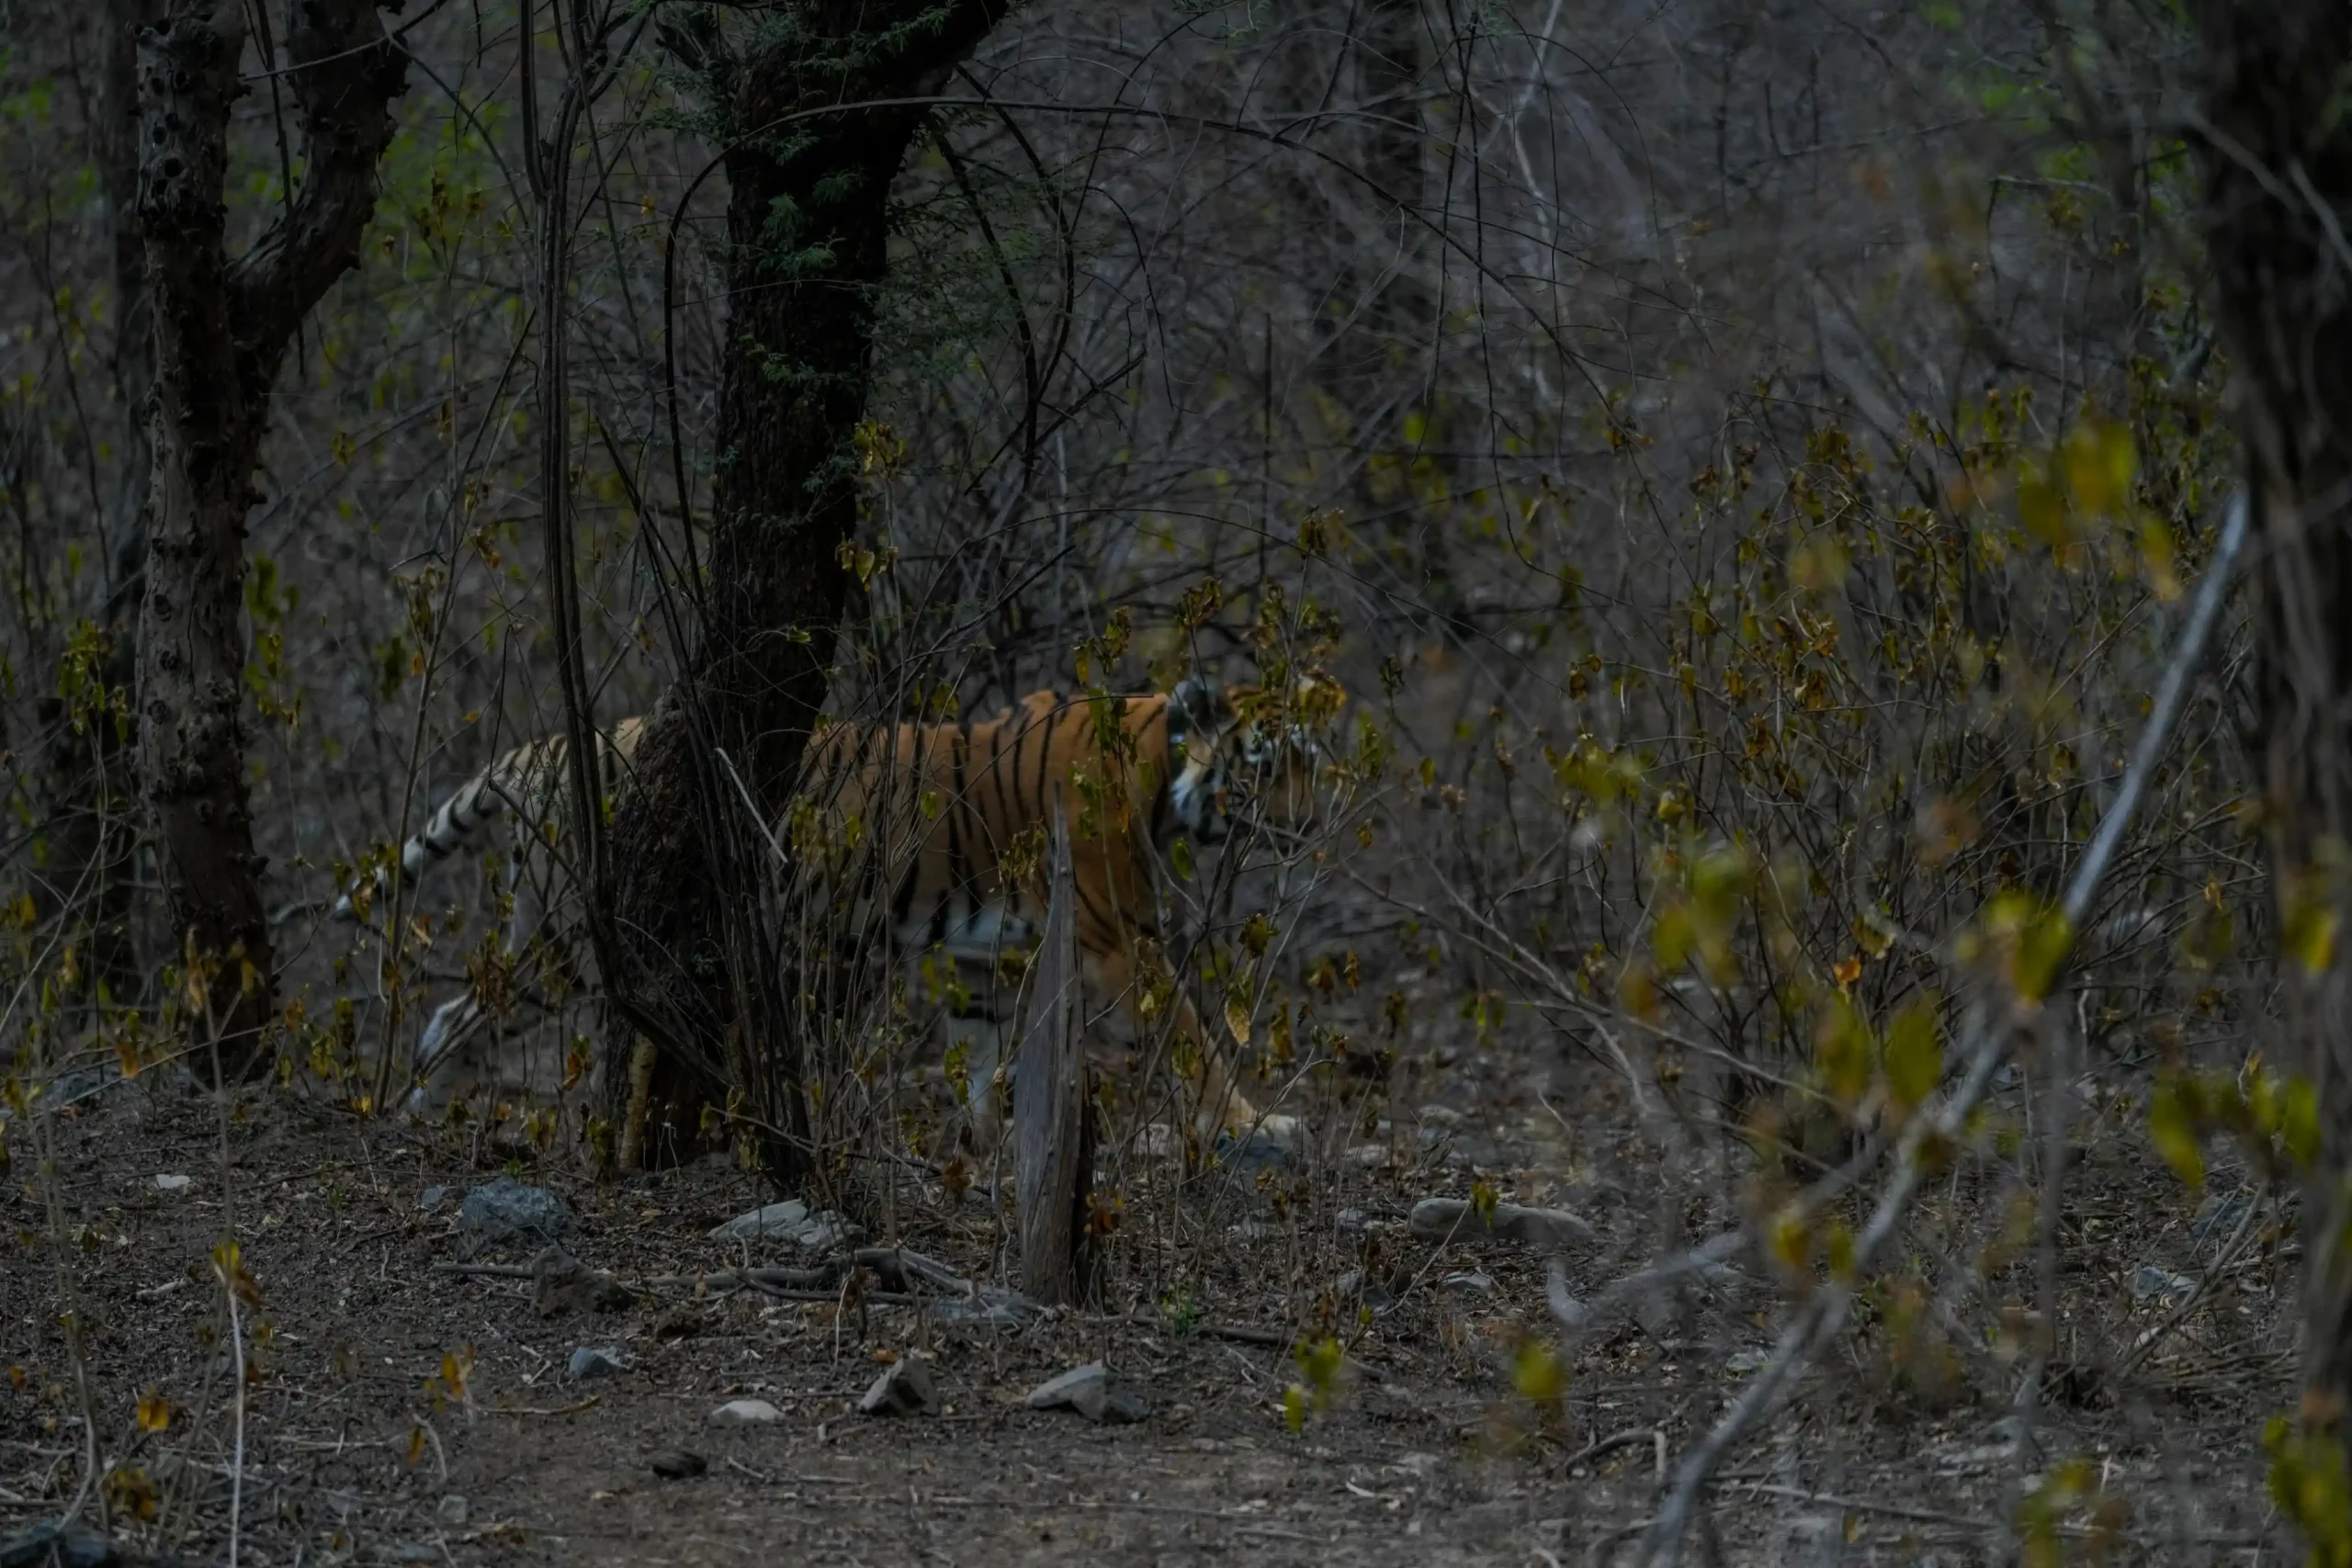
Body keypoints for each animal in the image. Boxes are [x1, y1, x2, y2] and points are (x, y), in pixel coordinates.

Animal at [336, 678, 1337, 1142]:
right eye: (1267, 762)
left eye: (1310, 759)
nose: (1311, 821)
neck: (1158, 769)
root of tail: (544, 748)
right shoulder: (1120, 937)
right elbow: (1190, 1034)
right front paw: (1259, 1124)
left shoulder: (982, 959)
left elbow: (981, 1059)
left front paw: (984, 1145)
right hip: (569, 939)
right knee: (461, 1012)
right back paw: (415, 1103)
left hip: (548, 934)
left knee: (455, 1008)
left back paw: (418, 1103)